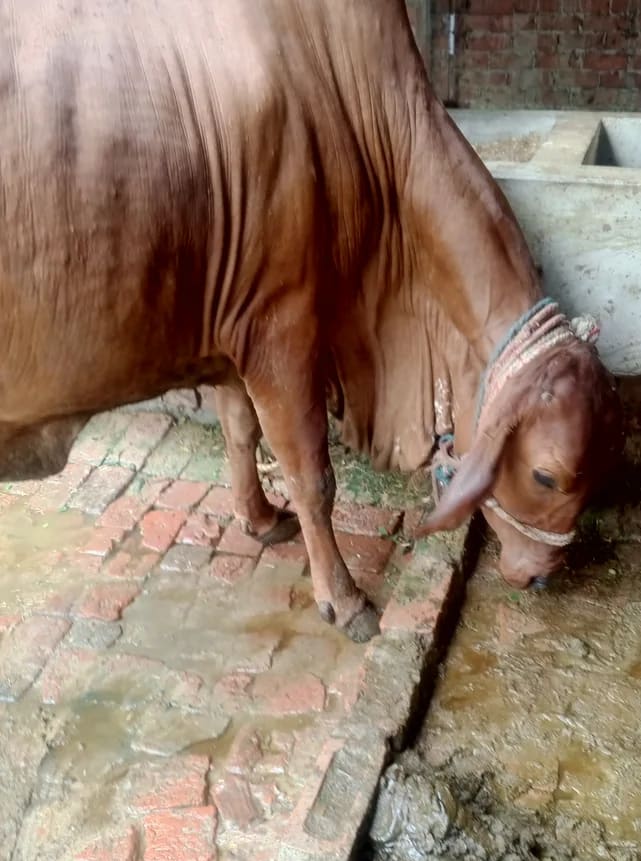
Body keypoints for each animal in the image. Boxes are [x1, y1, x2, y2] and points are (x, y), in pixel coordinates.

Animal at [0, 0, 622, 643]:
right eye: (547, 476)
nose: (540, 575)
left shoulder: (234, 333)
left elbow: (240, 431)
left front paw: (260, 520)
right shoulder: (281, 329)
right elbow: (310, 476)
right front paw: (345, 601)